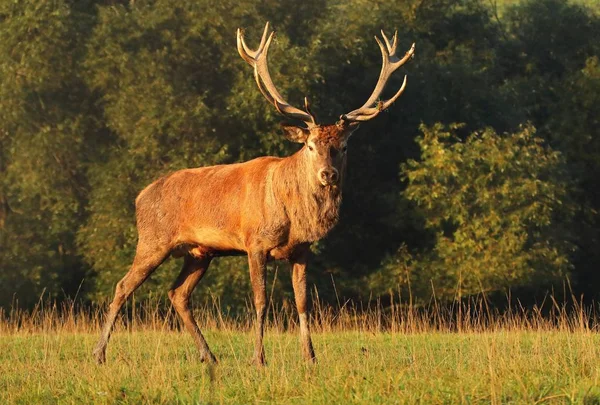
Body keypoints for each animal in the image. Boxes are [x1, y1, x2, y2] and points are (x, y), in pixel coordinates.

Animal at [94, 22, 414, 366]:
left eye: (343, 147)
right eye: (310, 145)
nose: (328, 174)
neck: (293, 217)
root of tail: (140, 196)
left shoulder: (302, 250)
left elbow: (303, 303)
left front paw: (310, 356)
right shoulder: (255, 243)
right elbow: (261, 300)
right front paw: (258, 357)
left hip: (199, 252)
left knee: (177, 293)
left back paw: (209, 355)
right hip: (153, 239)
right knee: (123, 286)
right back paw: (99, 353)